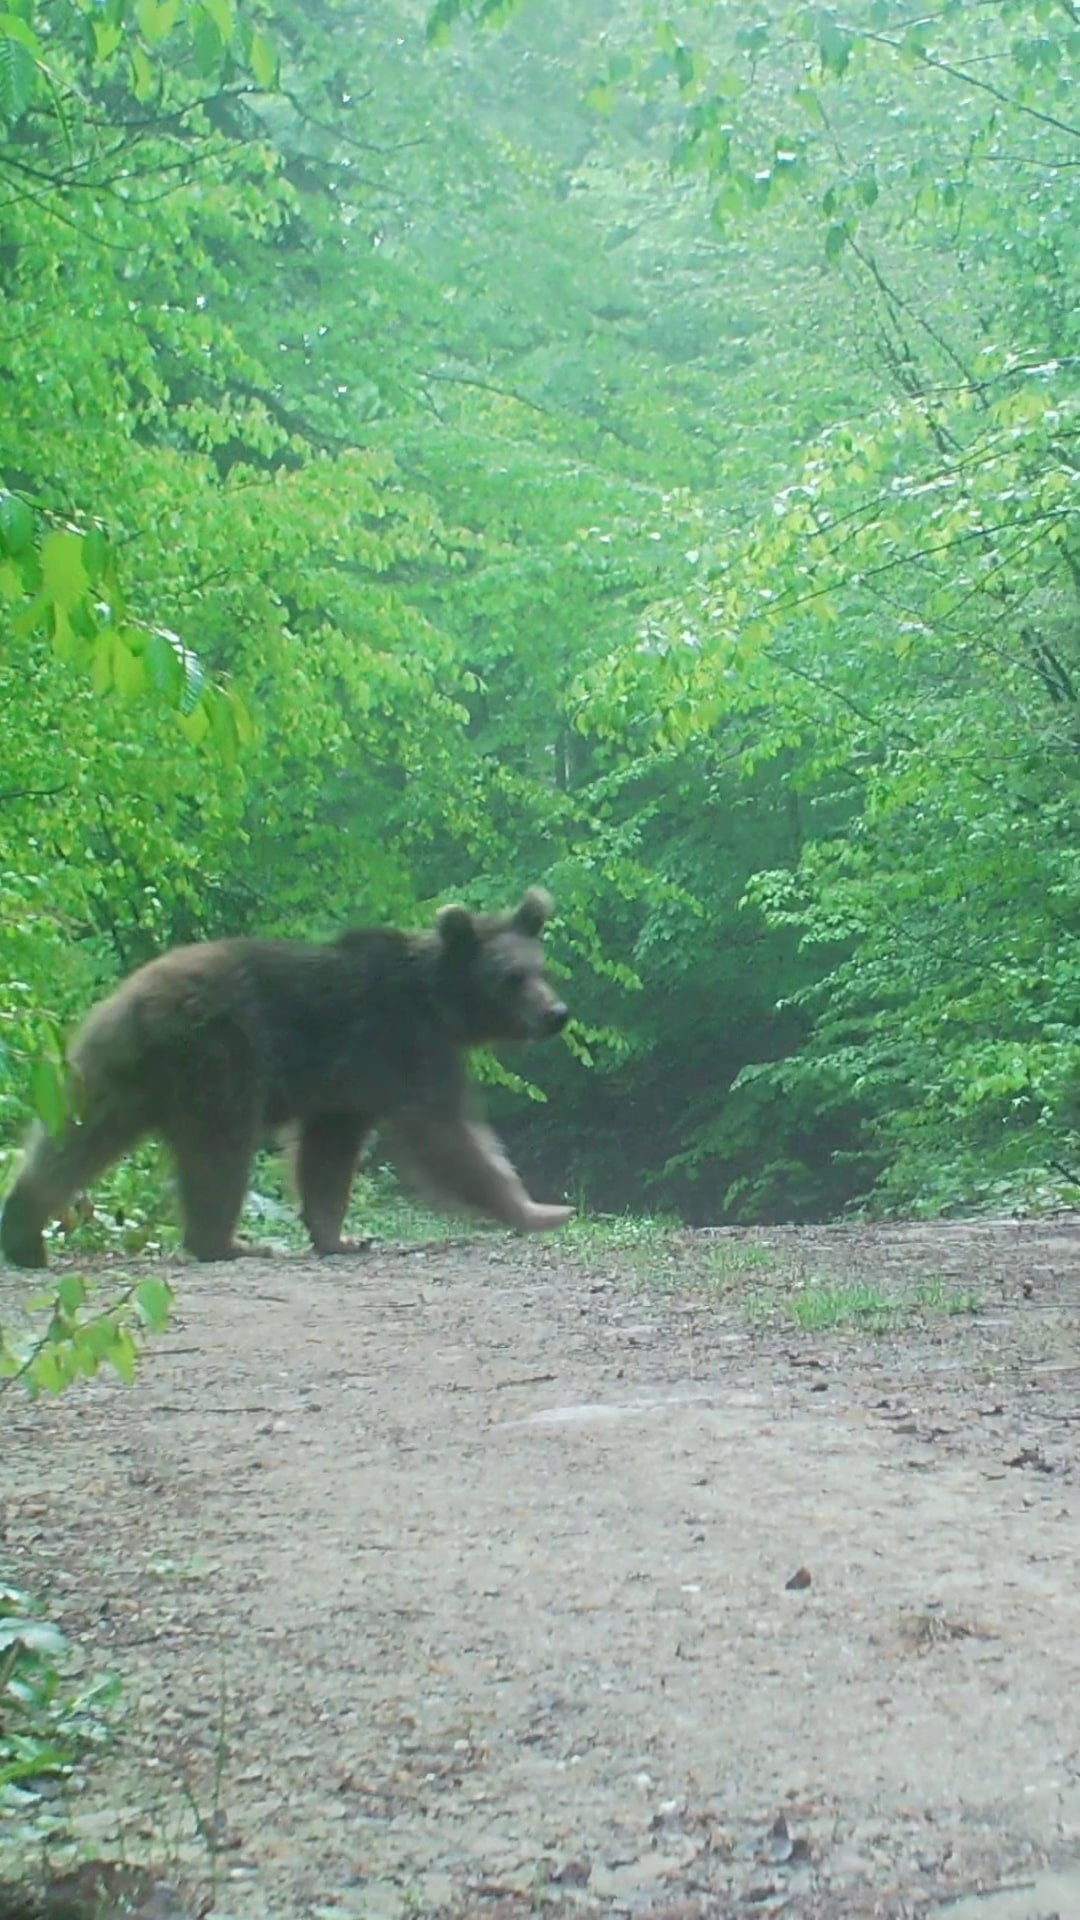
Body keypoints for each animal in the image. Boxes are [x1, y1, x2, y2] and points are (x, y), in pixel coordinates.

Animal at [0, 887, 572, 1274]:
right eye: (512, 977)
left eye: (541, 969)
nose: (556, 1013)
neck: (440, 1004)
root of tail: (137, 1000)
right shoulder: (403, 1045)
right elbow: (444, 1134)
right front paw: (539, 1208)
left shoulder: (348, 1087)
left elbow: (328, 1155)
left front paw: (339, 1235)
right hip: (222, 1056)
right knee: (220, 1148)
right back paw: (228, 1241)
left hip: (107, 1071)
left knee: (71, 1139)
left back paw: (23, 1231)